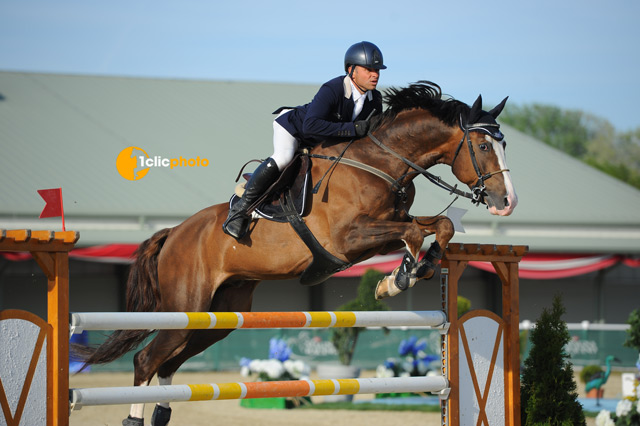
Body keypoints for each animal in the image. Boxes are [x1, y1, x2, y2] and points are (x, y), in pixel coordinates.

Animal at [79, 81, 518, 426]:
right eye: (483, 145)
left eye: (503, 144)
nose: (507, 202)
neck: (380, 163)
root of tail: (173, 234)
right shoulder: (348, 238)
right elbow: (411, 233)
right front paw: (400, 277)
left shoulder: (378, 232)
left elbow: (438, 226)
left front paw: (408, 273)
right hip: (185, 306)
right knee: (146, 361)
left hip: (217, 316)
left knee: (168, 363)